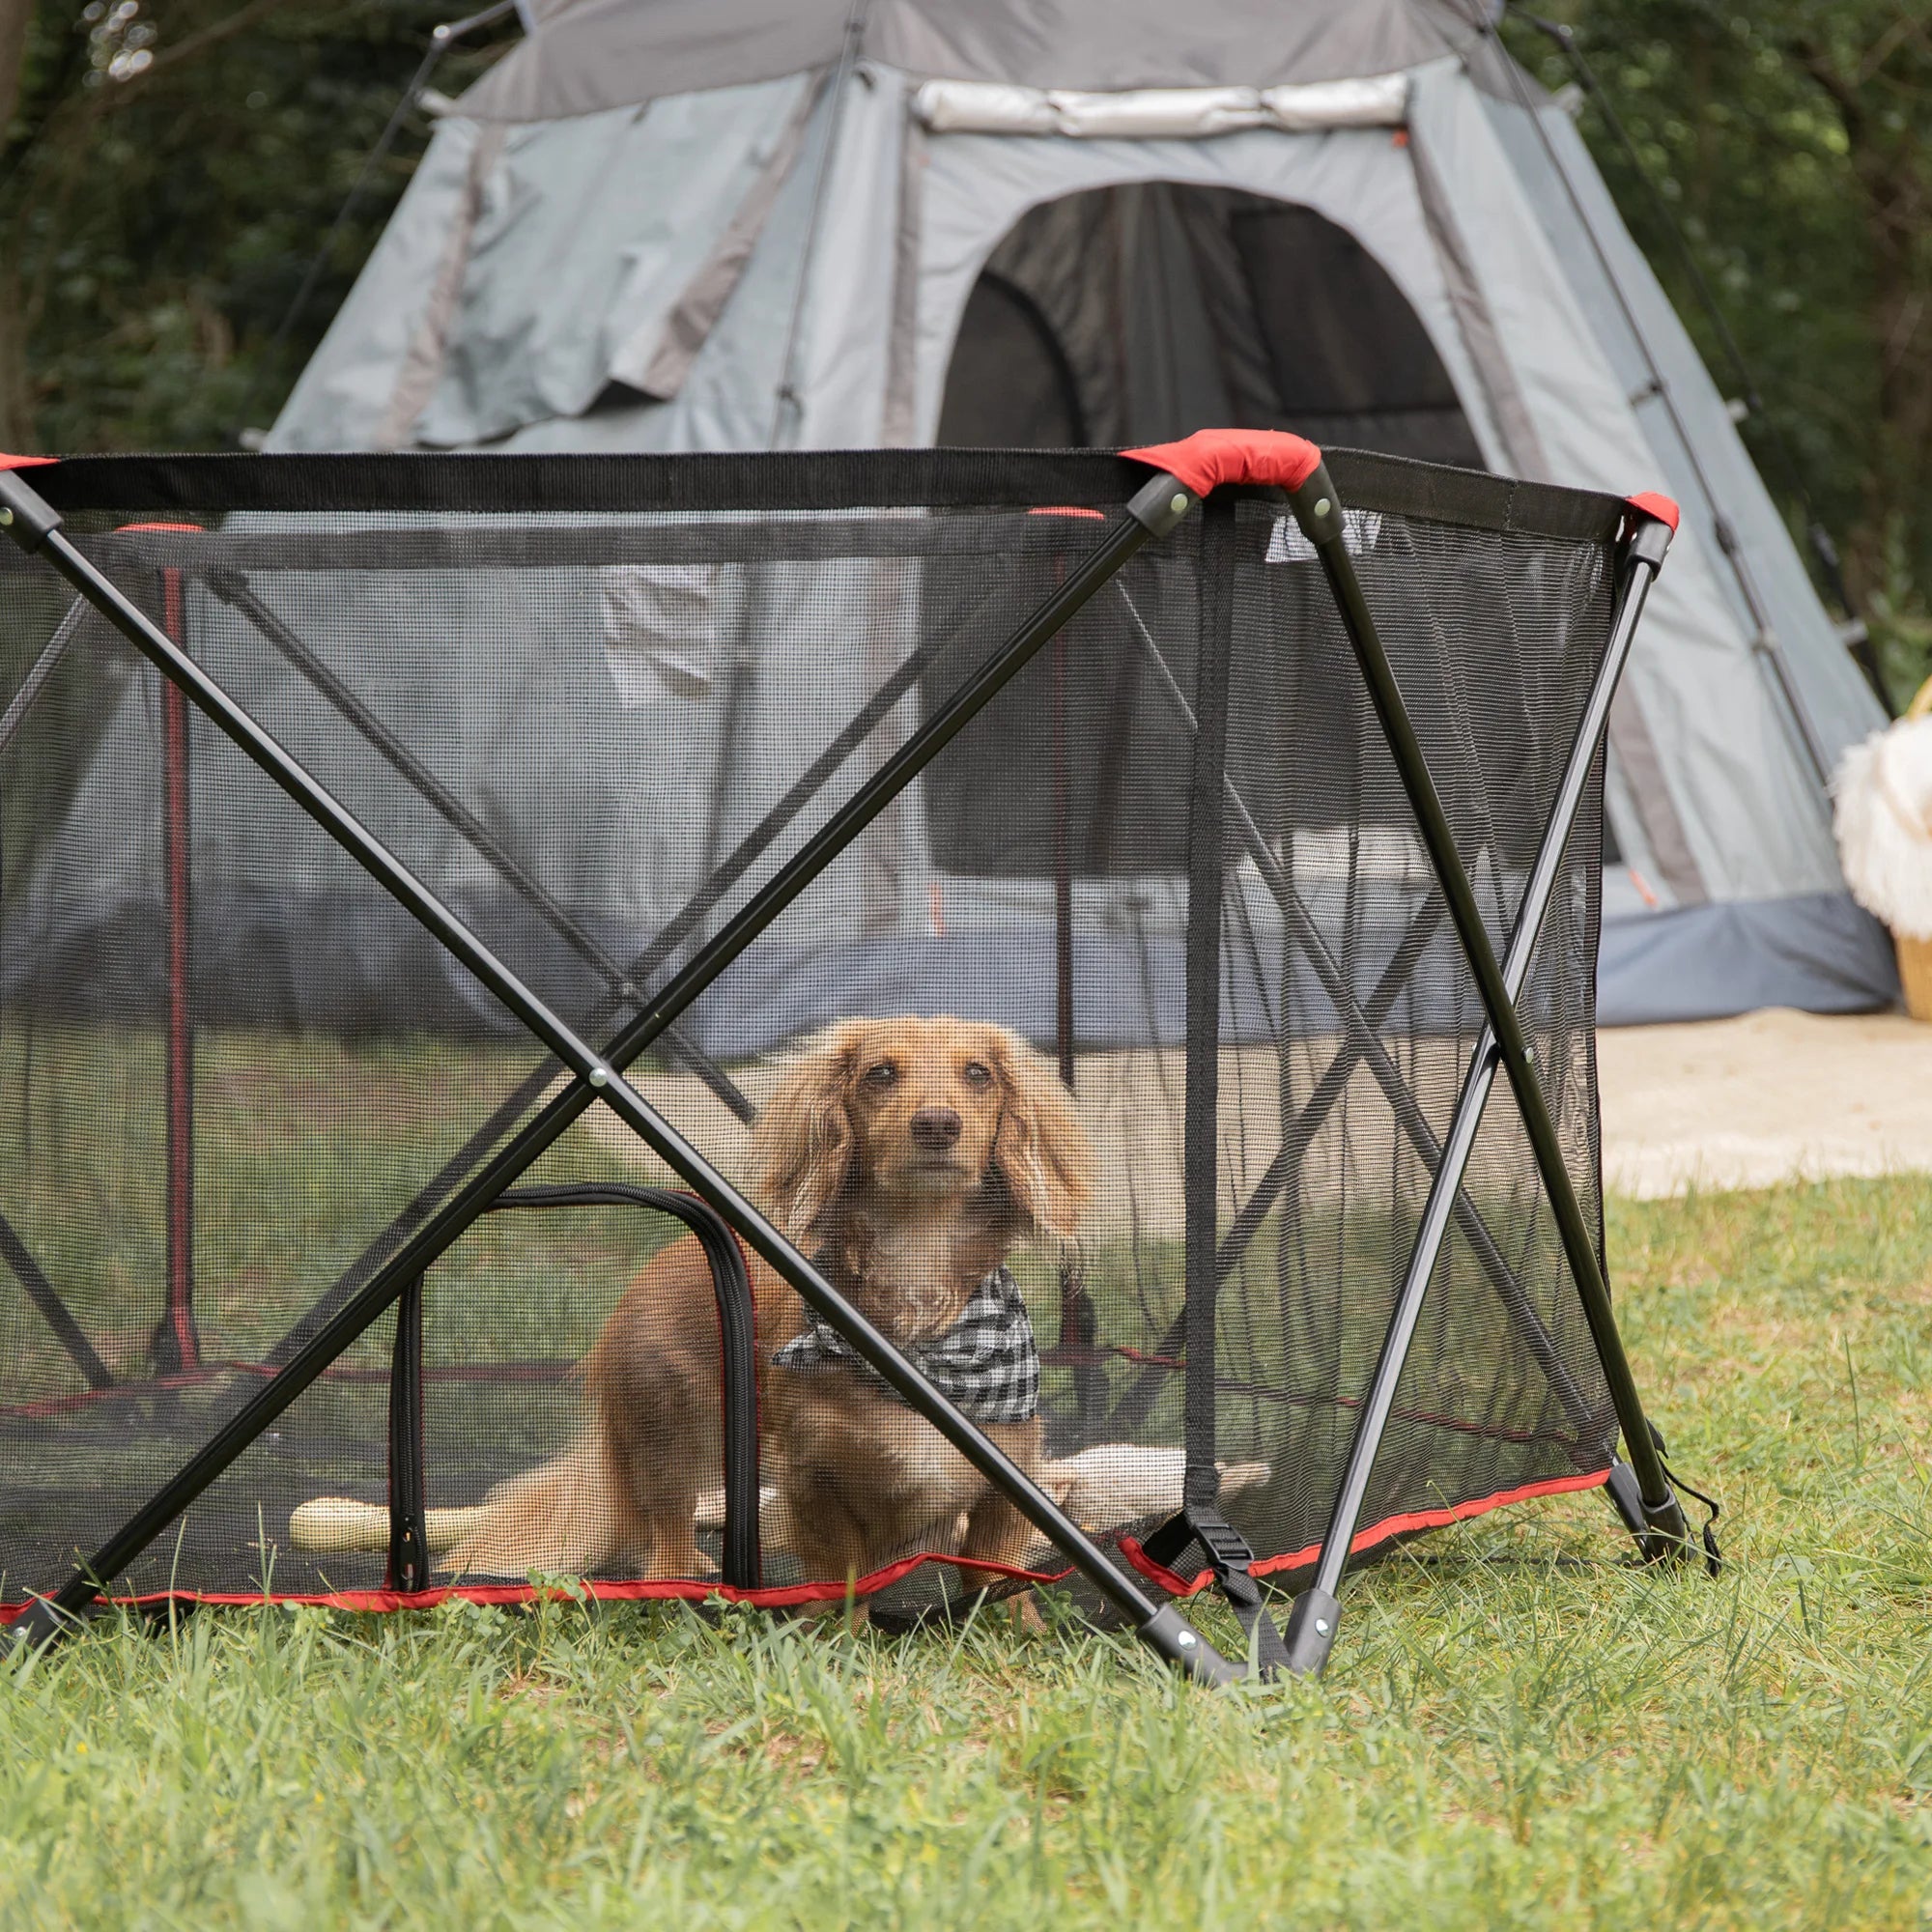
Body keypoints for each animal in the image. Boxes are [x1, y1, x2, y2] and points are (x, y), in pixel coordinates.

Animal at [440, 1020, 1097, 1592]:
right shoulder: (813, 1478)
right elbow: (841, 1581)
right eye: (880, 1073)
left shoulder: (1005, 1486)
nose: (937, 1123)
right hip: (668, 1432)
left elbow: (995, 1577)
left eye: (979, 1073)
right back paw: (685, 1577)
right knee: (667, 1532)